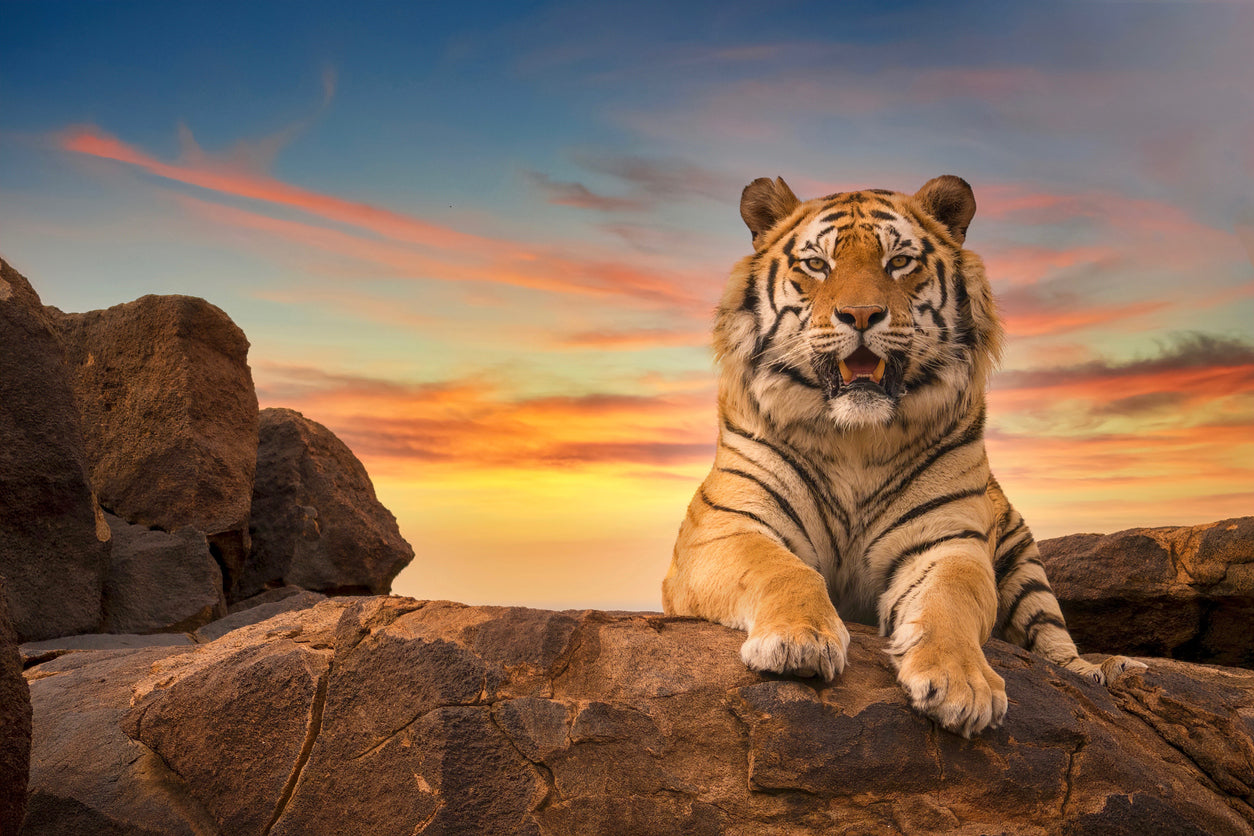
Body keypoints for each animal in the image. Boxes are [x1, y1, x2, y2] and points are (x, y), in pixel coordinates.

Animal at [662, 174, 1144, 737]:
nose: (861, 315)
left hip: (1026, 566)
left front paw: (962, 685)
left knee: (1056, 645)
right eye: (817, 264)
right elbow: (782, 570)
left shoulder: (949, 542)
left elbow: (951, 601)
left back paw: (1108, 671)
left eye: (899, 261)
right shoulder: (725, 528)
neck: (854, 439)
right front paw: (799, 641)